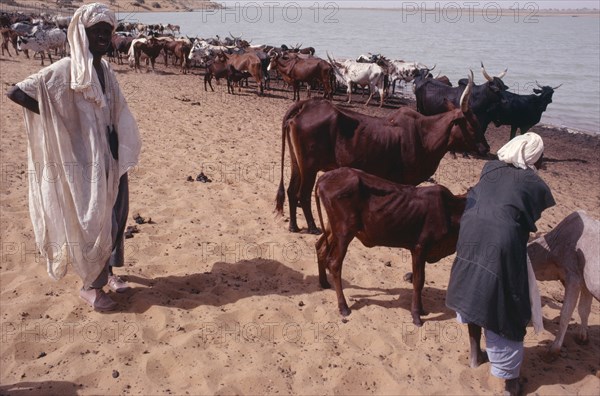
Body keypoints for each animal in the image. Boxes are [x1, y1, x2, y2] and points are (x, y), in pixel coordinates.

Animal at [274, 71, 486, 234]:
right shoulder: (405, 181)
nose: (486, 148)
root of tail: (307, 106)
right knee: (303, 194)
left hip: (297, 163)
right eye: (472, 124)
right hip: (309, 166)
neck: (424, 135)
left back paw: (294, 226)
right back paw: (311, 226)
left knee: (291, 191)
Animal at [316, 166, 466, 324]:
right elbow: (418, 281)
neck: (450, 212)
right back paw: (343, 306)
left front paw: (422, 310)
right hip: (345, 233)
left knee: (320, 248)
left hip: (333, 229)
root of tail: (325, 176)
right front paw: (416, 315)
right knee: (334, 264)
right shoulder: (420, 248)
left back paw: (324, 283)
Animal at [528, 212, 600, 360]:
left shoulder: (573, 277)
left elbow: (565, 314)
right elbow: (584, 309)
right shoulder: (585, 282)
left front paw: (554, 349)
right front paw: (583, 337)